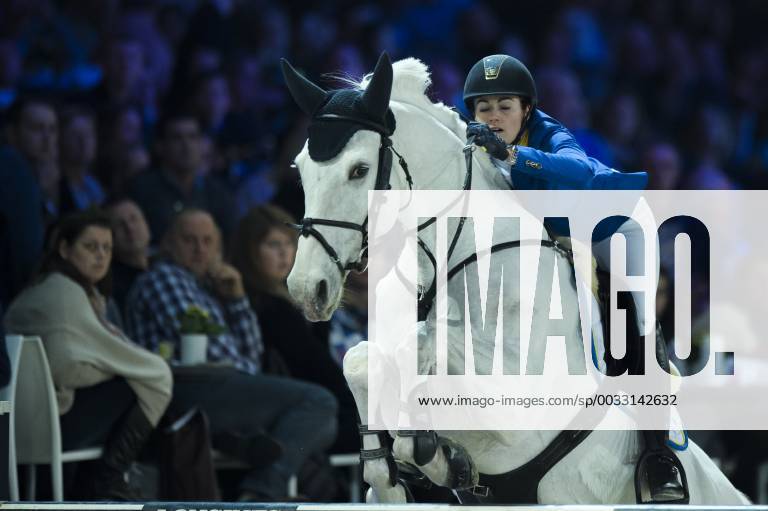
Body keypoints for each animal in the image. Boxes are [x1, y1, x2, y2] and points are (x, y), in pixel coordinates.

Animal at [280, 54, 748, 506]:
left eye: (359, 170)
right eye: (300, 170)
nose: (307, 290)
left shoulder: (522, 406)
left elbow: (420, 343)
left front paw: (425, 453)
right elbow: (360, 358)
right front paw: (395, 476)